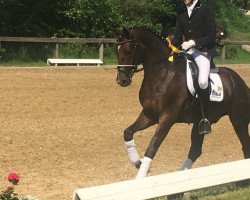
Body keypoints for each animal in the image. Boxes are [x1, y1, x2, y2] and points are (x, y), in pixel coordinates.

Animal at [114, 26, 250, 178]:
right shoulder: (150, 115)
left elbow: (152, 148)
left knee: (245, 145)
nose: (122, 80)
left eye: (130, 48)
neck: (162, 74)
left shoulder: (167, 118)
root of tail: (240, 82)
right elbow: (128, 133)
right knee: (195, 150)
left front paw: (141, 176)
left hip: (238, 120)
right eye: (116, 50)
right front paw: (138, 163)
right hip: (199, 122)